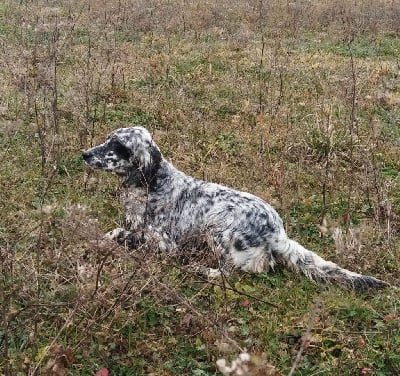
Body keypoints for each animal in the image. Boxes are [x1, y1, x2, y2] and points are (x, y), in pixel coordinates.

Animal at [83, 126, 386, 290]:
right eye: (108, 138)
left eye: (118, 145)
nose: (84, 154)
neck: (153, 182)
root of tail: (278, 232)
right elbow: (115, 231)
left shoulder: (164, 243)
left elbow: (122, 236)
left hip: (217, 226)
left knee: (235, 272)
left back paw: (204, 270)